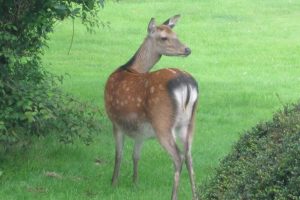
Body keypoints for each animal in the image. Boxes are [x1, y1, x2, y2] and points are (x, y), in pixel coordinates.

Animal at [105, 14, 199, 199]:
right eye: (164, 37)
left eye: (175, 34)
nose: (187, 49)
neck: (130, 68)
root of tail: (187, 85)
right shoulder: (140, 130)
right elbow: (135, 156)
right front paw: (135, 183)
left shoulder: (115, 121)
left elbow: (118, 155)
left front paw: (113, 183)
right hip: (189, 124)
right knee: (189, 157)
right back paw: (196, 195)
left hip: (162, 122)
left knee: (178, 157)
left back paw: (173, 196)